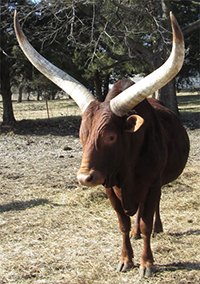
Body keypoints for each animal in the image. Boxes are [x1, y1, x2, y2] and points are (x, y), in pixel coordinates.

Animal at [14, 11, 189, 278]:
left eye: (111, 137)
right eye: (81, 135)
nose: (85, 178)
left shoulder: (152, 184)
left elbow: (147, 222)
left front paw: (147, 263)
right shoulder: (109, 186)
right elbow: (123, 223)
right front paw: (126, 259)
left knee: (151, 213)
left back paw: (157, 227)